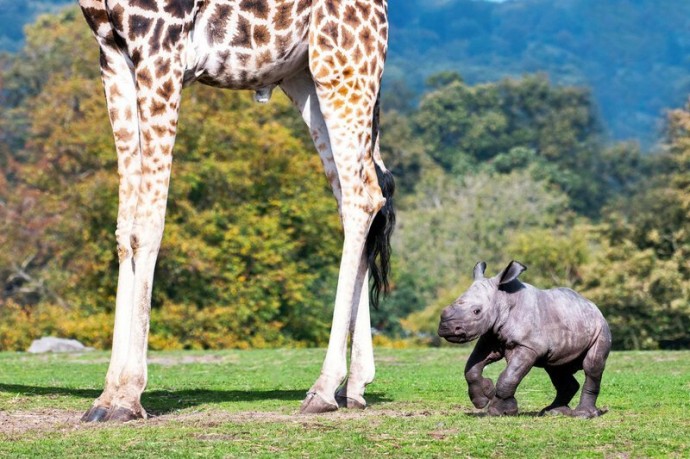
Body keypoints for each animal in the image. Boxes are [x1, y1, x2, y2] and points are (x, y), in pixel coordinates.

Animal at [77, 0, 390, 422]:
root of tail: (382, 10)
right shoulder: (111, 55)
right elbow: (124, 231)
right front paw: (106, 397)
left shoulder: (161, 49)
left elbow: (147, 226)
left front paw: (128, 395)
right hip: (305, 75)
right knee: (355, 195)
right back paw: (354, 385)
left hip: (341, 60)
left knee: (363, 198)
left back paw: (323, 389)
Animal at [438, 260, 612, 418]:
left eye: (476, 311)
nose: (446, 328)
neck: (504, 300)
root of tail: (593, 306)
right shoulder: (490, 338)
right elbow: (471, 368)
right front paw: (483, 399)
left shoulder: (529, 346)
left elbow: (508, 377)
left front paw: (501, 411)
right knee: (555, 367)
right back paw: (552, 412)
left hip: (601, 328)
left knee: (591, 365)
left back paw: (583, 414)